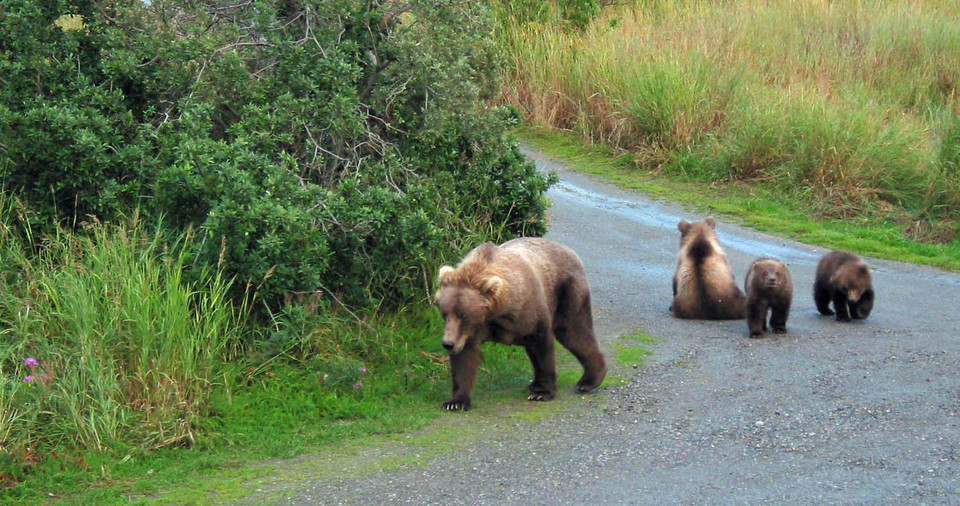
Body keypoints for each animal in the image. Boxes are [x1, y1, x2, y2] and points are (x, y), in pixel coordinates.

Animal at [436, 238, 608, 412]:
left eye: (464, 315)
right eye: (444, 313)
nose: (448, 343)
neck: (496, 313)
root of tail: (570, 251)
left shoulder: (528, 312)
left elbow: (541, 347)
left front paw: (542, 392)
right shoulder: (470, 332)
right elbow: (465, 358)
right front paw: (455, 401)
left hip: (568, 290)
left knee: (574, 330)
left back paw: (589, 380)